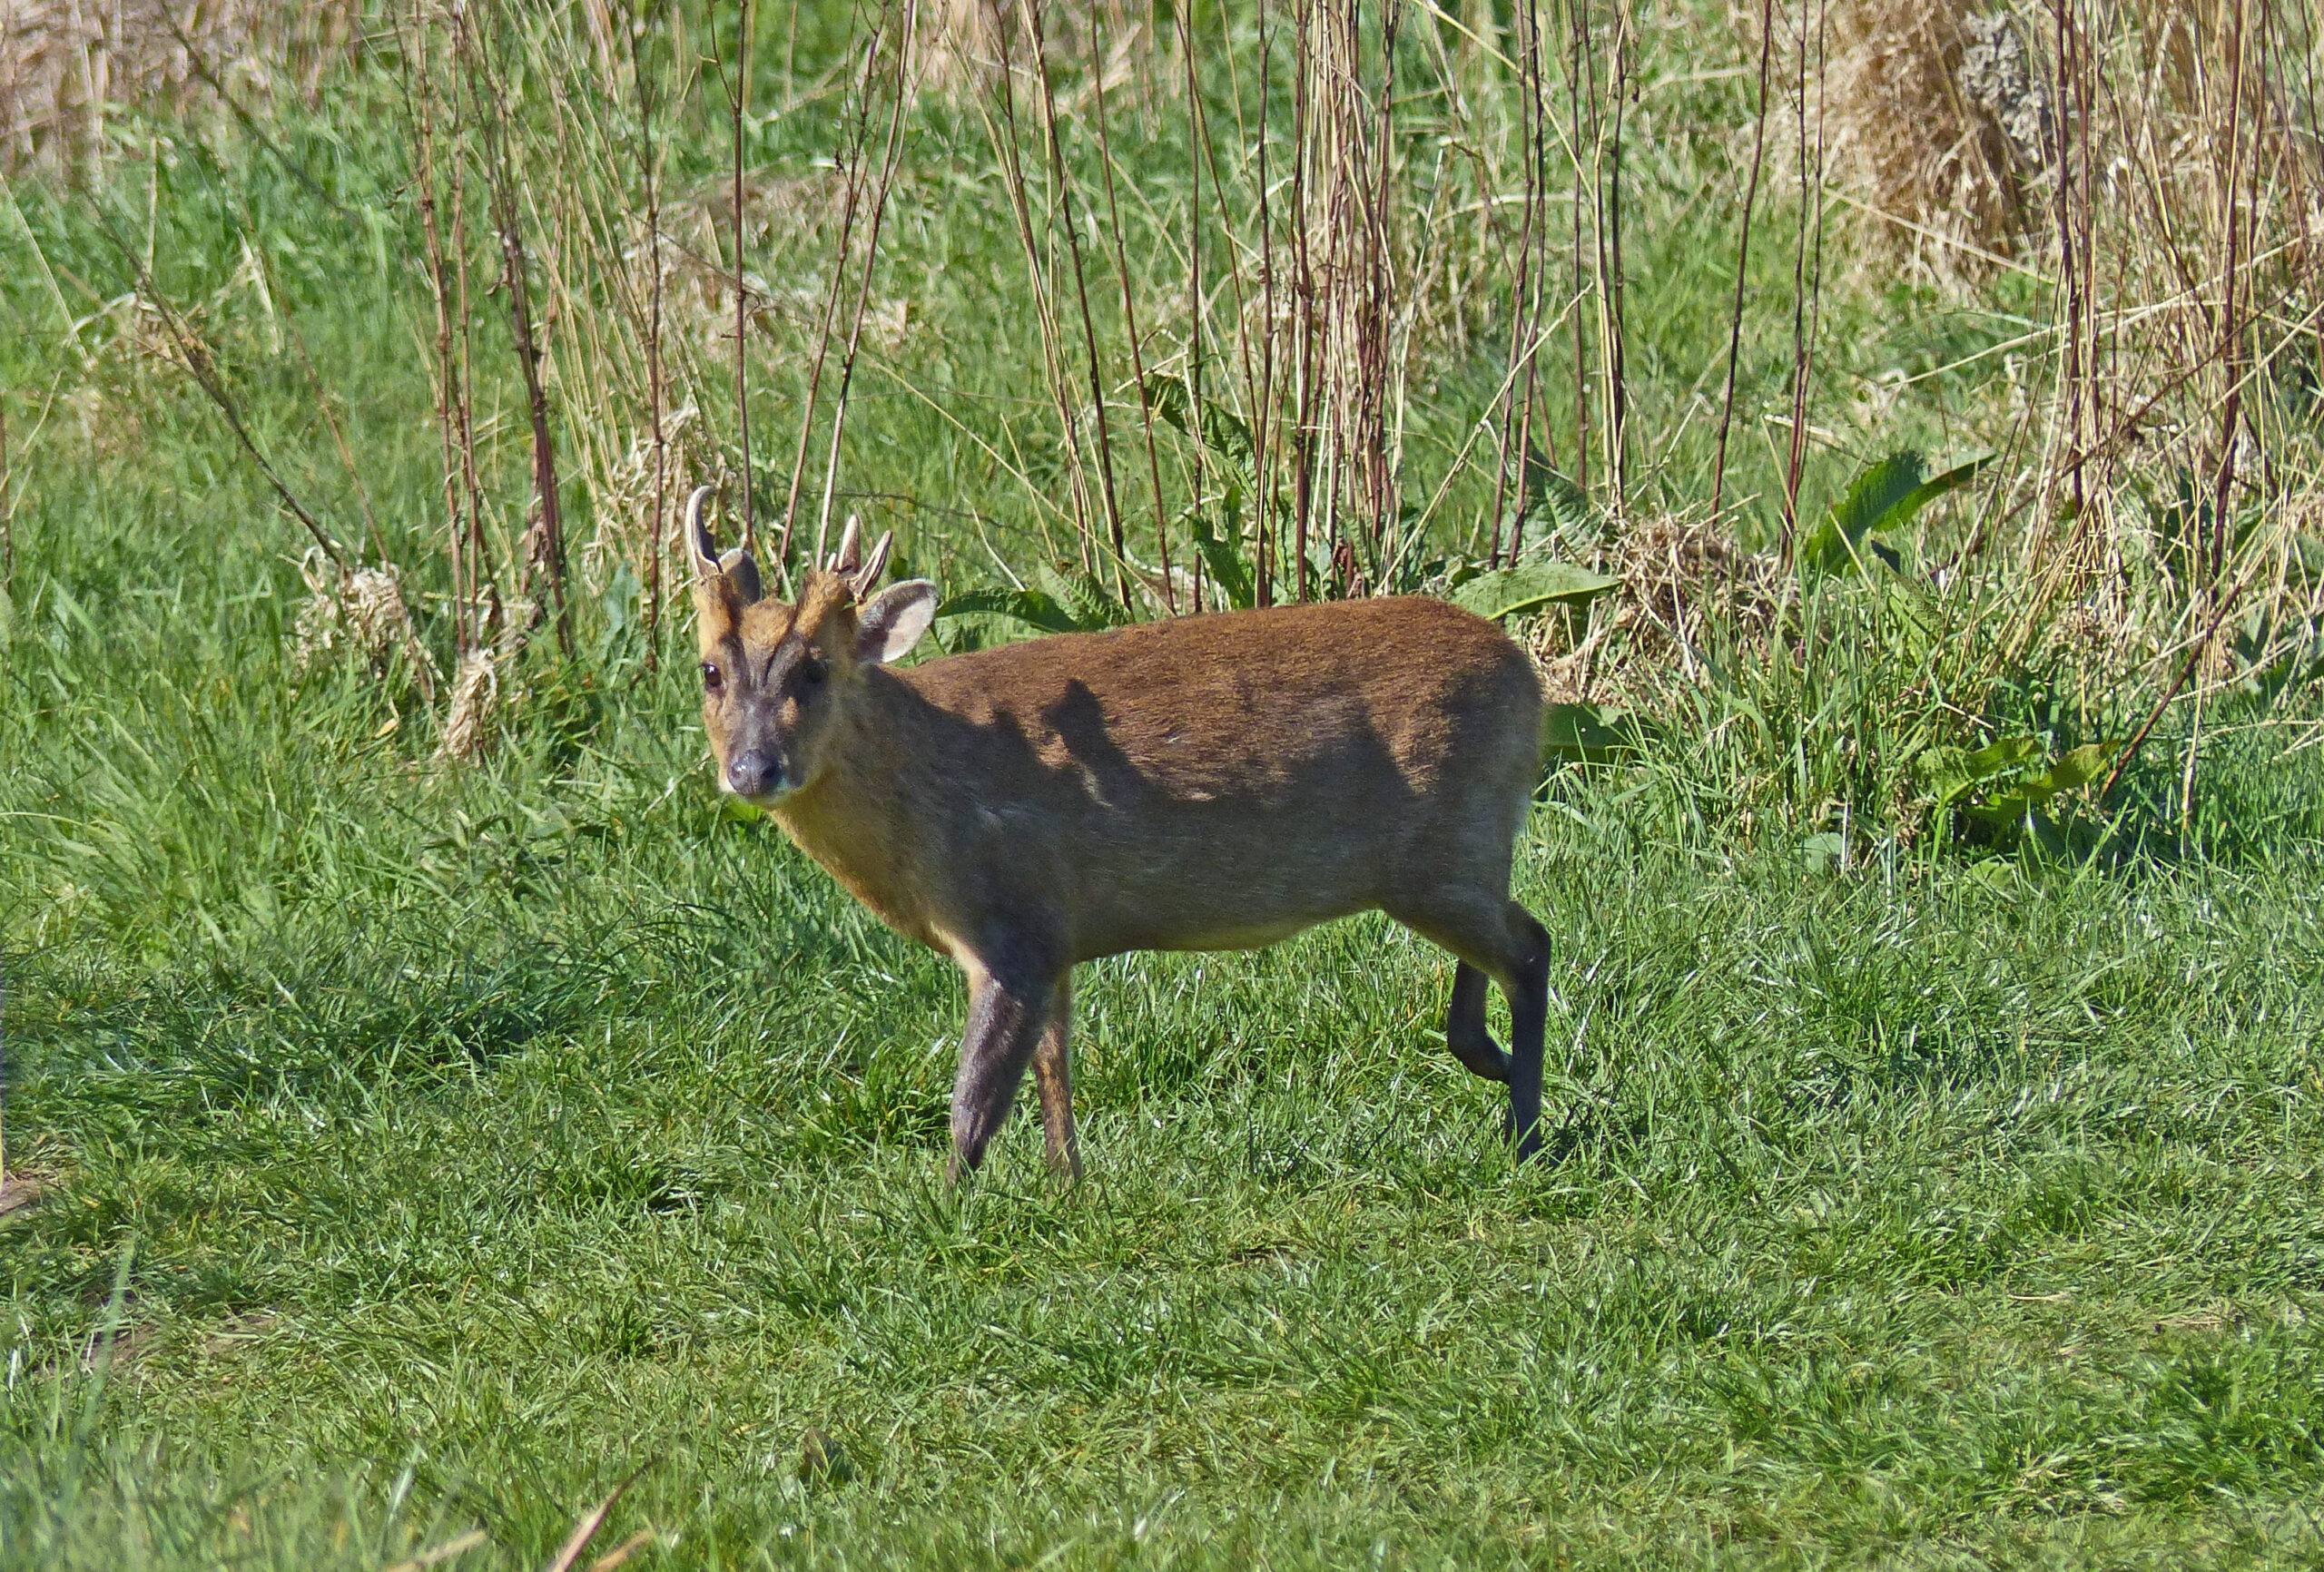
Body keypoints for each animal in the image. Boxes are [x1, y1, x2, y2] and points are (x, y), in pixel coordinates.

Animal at [678, 487, 1552, 1179]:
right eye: (710, 671)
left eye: (815, 670)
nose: (753, 770)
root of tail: (1529, 676)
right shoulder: (1055, 936)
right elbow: (1054, 1064)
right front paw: (1068, 1183)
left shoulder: (1012, 921)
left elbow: (974, 1101)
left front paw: (944, 1205)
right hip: (1455, 852)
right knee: (1503, 949)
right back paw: (1497, 1070)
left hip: (1442, 845)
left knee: (1530, 947)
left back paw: (1526, 1131)